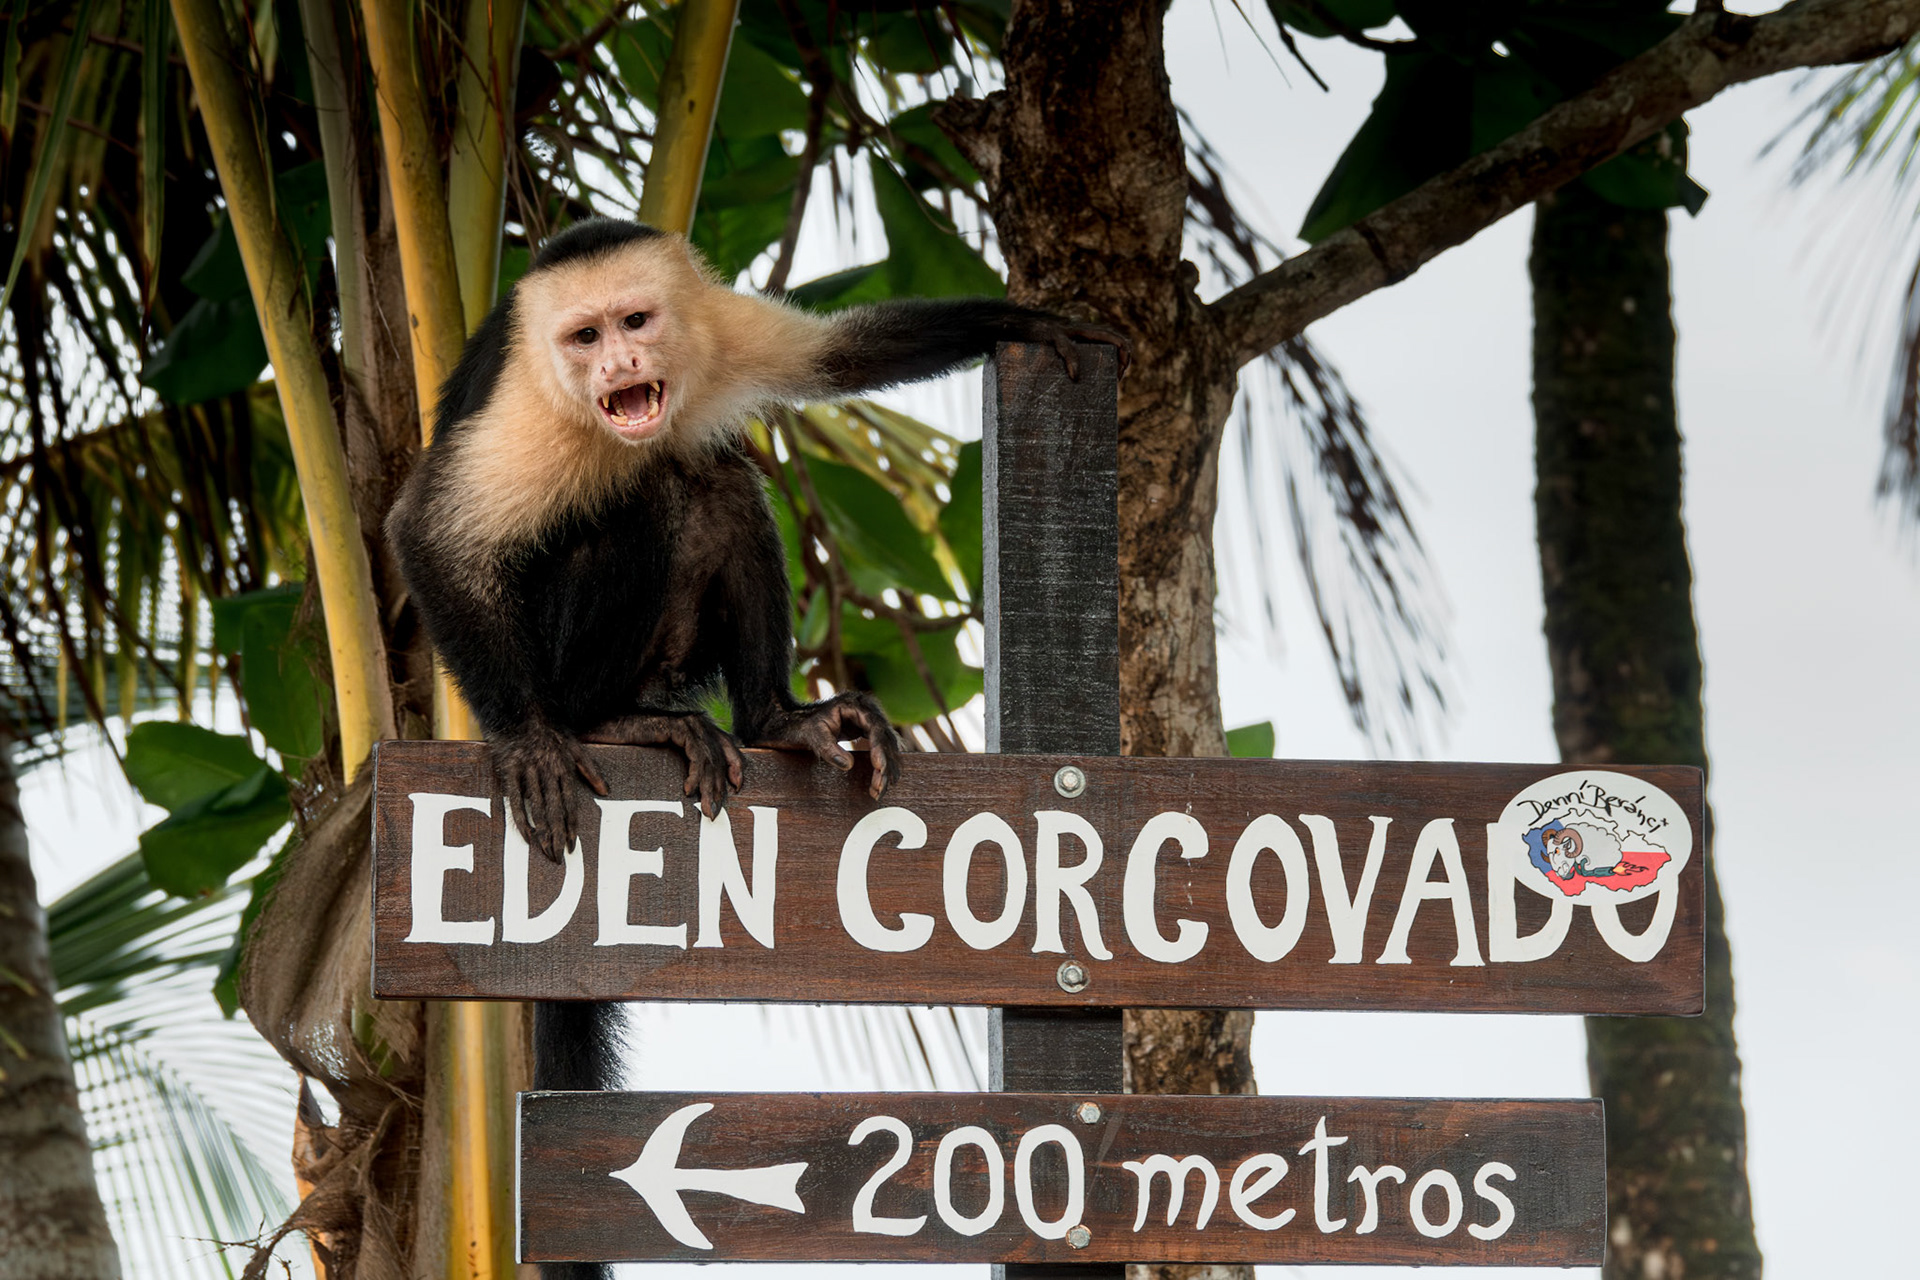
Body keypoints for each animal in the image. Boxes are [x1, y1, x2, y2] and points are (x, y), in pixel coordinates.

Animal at [386, 218, 1124, 1269]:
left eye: (636, 321)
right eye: (582, 338)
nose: (619, 365)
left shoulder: (716, 328)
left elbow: (843, 352)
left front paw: (1025, 321)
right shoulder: (531, 411)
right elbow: (428, 534)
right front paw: (526, 744)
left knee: (717, 476)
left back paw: (778, 719)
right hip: (568, 655)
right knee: (646, 496)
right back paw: (602, 721)